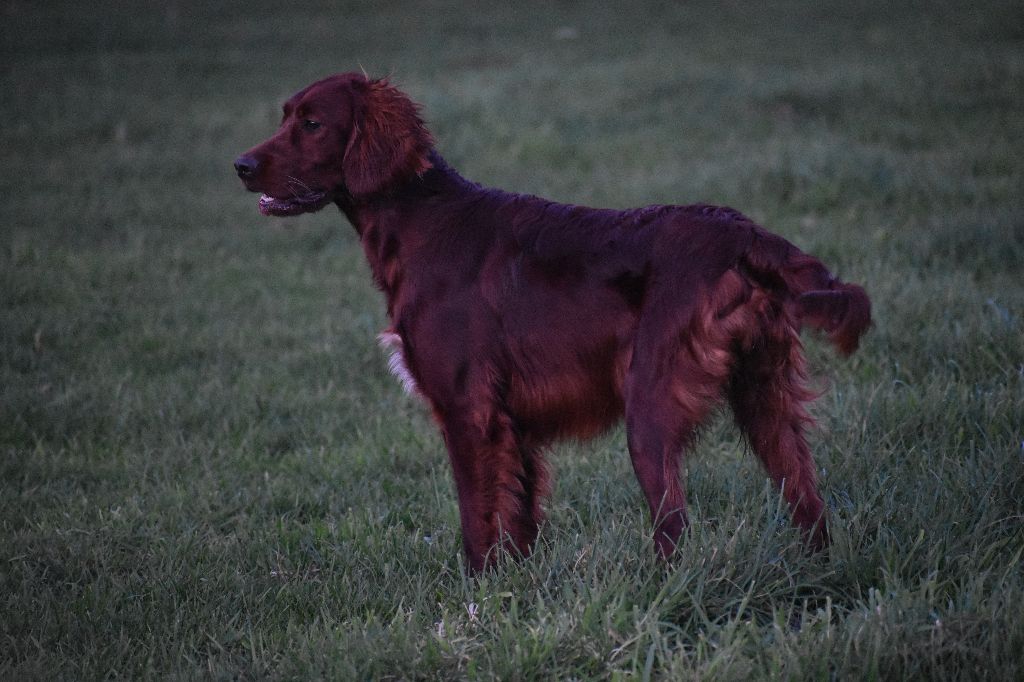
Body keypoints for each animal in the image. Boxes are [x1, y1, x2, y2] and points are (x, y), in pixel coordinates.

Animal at [234, 71, 872, 569]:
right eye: (285, 116)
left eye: (313, 123)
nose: (240, 165)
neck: (421, 222)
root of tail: (746, 235)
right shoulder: (511, 426)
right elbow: (517, 526)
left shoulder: (469, 414)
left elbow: (477, 529)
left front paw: (476, 605)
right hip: (766, 401)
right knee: (808, 503)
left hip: (649, 410)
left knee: (674, 531)